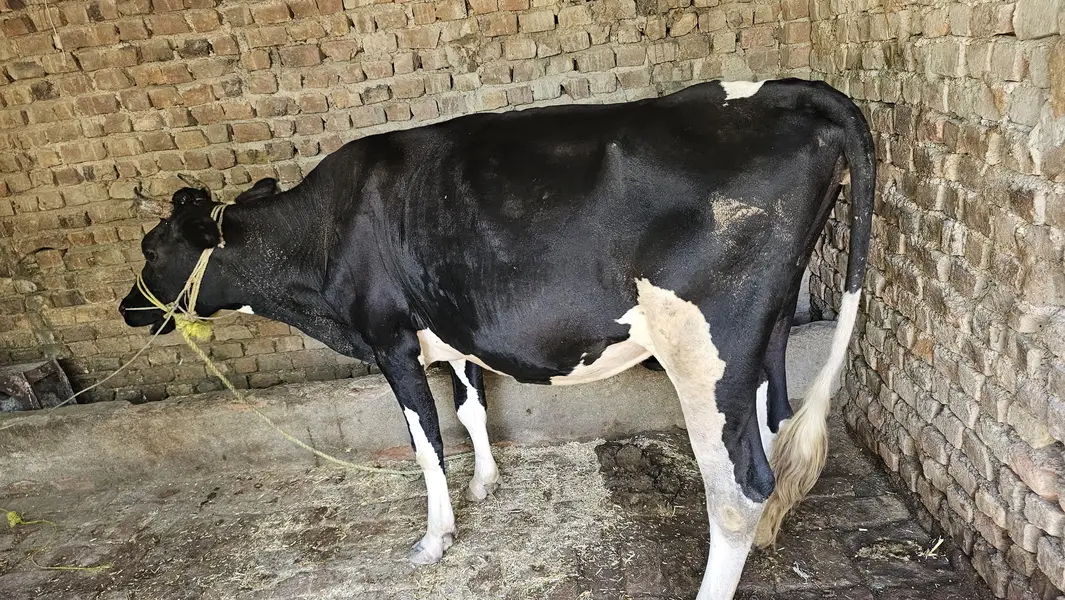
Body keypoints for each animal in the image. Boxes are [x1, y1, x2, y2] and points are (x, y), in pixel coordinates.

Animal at [119, 77, 874, 600]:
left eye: (152, 248)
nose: (127, 309)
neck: (323, 237)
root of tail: (788, 90)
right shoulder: (452, 322)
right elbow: (471, 405)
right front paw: (486, 481)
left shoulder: (389, 340)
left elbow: (426, 444)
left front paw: (435, 538)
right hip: (764, 336)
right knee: (773, 429)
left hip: (704, 348)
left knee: (738, 487)